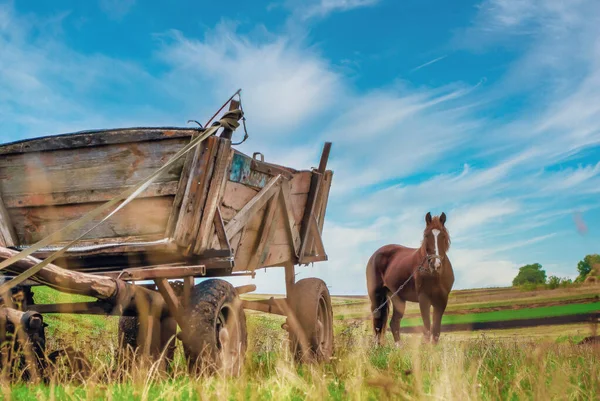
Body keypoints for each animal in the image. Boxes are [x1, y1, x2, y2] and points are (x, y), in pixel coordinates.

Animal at [366, 211, 454, 346]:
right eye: (426, 236)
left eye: (443, 236)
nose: (435, 265)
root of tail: (374, 255)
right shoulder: (424, 299)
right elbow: (427, 328)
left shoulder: (442, 300)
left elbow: (436, 331)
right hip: (376, 296)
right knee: (377, 321)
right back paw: (376, 347)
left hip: (398, 298)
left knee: (394, 323)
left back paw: (399, 348)